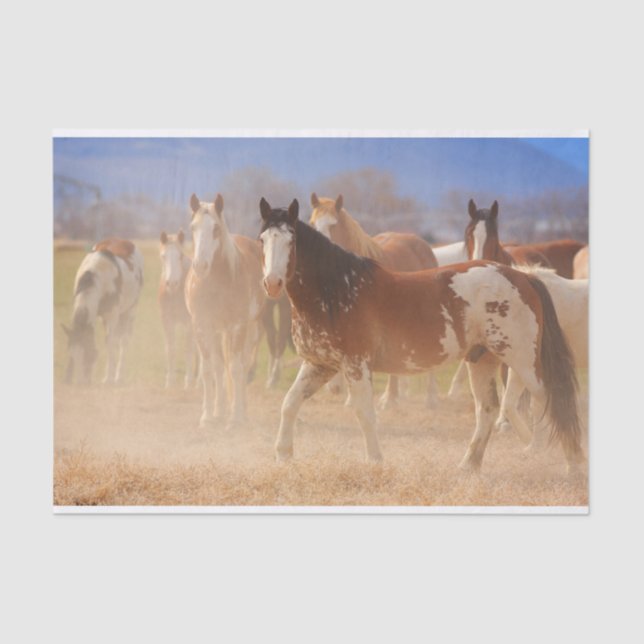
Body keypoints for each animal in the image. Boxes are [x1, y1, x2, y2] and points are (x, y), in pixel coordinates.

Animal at [62, 238, 143, 385]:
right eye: (72, 354)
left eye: (88, 353)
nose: (80, 383)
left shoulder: (112, 315)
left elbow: (110, 342)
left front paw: (108, 378)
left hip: (130, 311)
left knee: (123, 341)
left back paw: (119, 376)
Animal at [185, 193, 265, 430]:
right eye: (193, 227)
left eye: (216, 228)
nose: (200, 266)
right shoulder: (202, 327)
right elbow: (209, 370)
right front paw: (207, 417)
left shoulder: (238, 327)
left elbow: (236, 369)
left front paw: (236, 417)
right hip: (218, 332)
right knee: (220, 367)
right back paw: (219, 411)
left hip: (249, 330)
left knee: (242, 366)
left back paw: (241, 411)